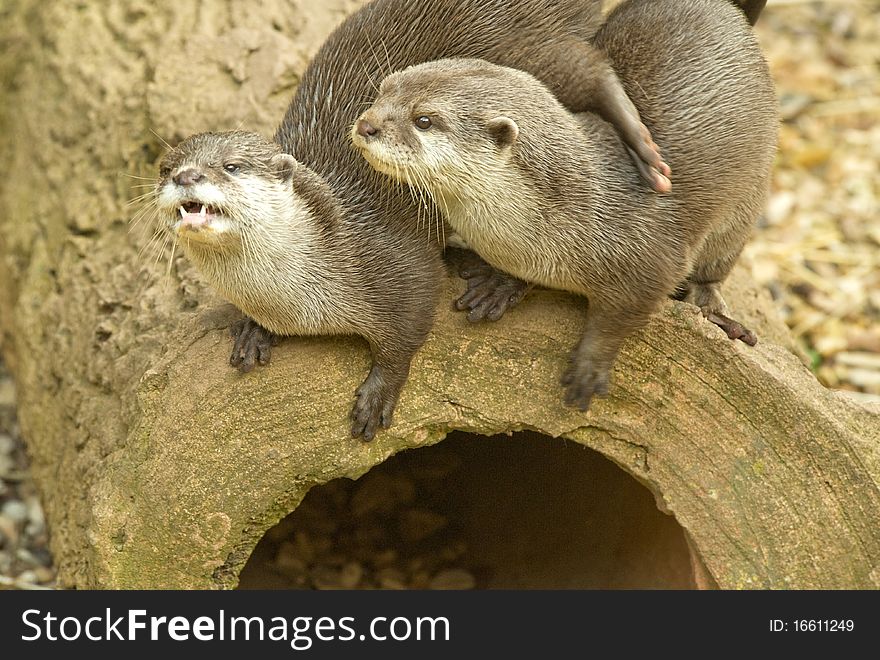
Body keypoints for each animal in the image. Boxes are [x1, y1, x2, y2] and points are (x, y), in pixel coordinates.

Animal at [155, 2, 672, 444]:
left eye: (232, 166)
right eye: (165, 167)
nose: (185, 175)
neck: (296, 297)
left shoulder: (395, 266)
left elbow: (409, 328)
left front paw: (379, 394)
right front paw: (251, 330)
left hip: (533, 53)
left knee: (591, 69)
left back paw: (644, 151)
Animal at [350, 0, 776, 408]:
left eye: (424, 119)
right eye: (385, 88)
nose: (366, 124)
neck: (581, 210)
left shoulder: (652, 260)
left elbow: (621, 317)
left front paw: (591, 365)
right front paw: (502, 284)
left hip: (747, 201)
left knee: (716, 265)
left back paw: (715, 311)